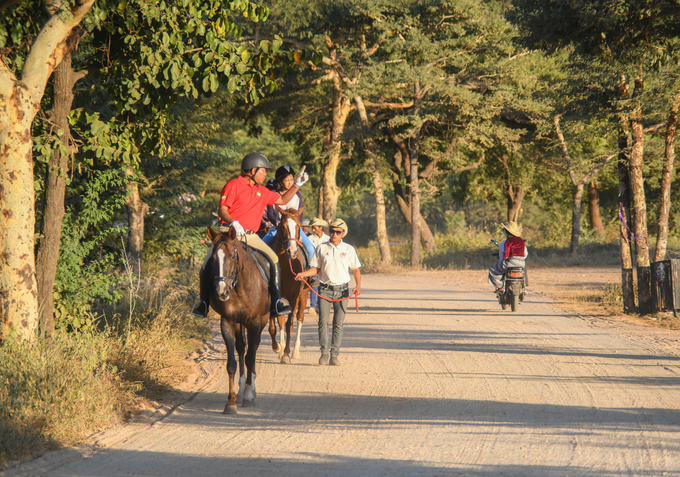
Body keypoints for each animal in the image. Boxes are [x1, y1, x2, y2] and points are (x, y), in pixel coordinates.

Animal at [206, 225, 270, 410]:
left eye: (233, 256)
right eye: (213, 258)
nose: (221, 291)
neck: (240, 286)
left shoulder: (255, 322)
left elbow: (250, 357)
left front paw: (249, 395)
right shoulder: (228, 322)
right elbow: (232, 363)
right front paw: (231, 402)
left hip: (262, 319)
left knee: (253, 348)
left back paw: (250, 387)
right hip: (239, 323)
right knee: (241, 348)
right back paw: (241, 387)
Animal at [272, 206, 312, 362]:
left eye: (299, 226)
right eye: (282, 226)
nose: (292, 251)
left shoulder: (294, 296)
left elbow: (289, 323)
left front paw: (286, 353)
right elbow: (279, 322)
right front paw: (280, 349)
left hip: (303, 294)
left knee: (299, 318)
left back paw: (295, 350)